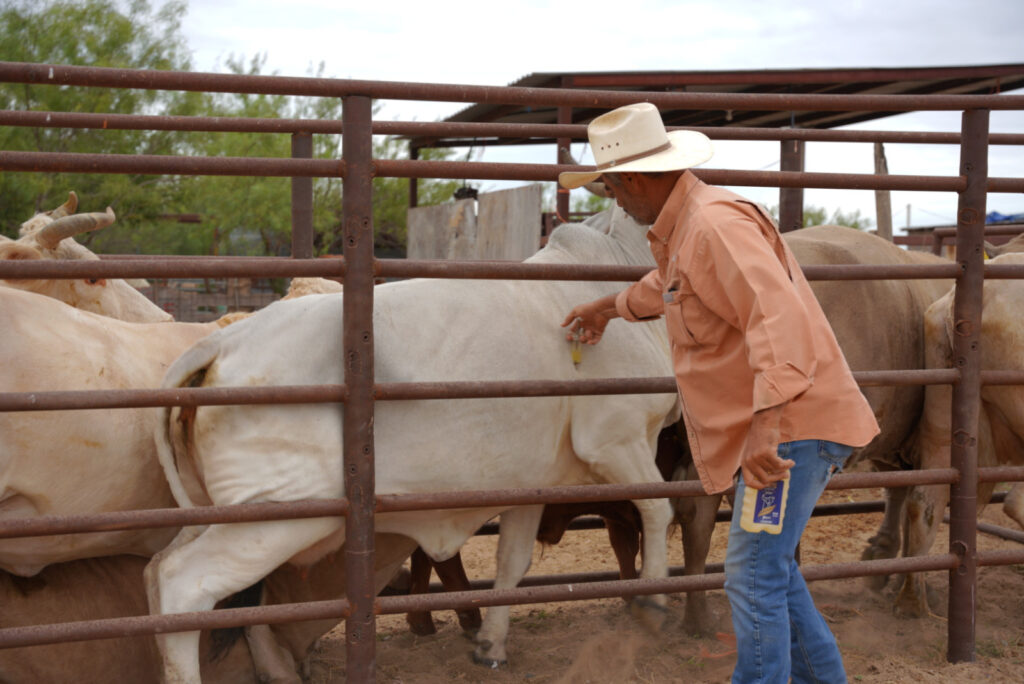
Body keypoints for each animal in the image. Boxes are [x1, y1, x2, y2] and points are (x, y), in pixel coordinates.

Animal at [142, 206, 671, 679]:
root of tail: (224, 342)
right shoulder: (617, 438)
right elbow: (657, 509)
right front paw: (652, 602)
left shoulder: (529, 483)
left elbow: (512, 561)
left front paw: (491, 644)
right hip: (277, 513)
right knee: (183, 584)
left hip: (220, 511)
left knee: (160, 573)